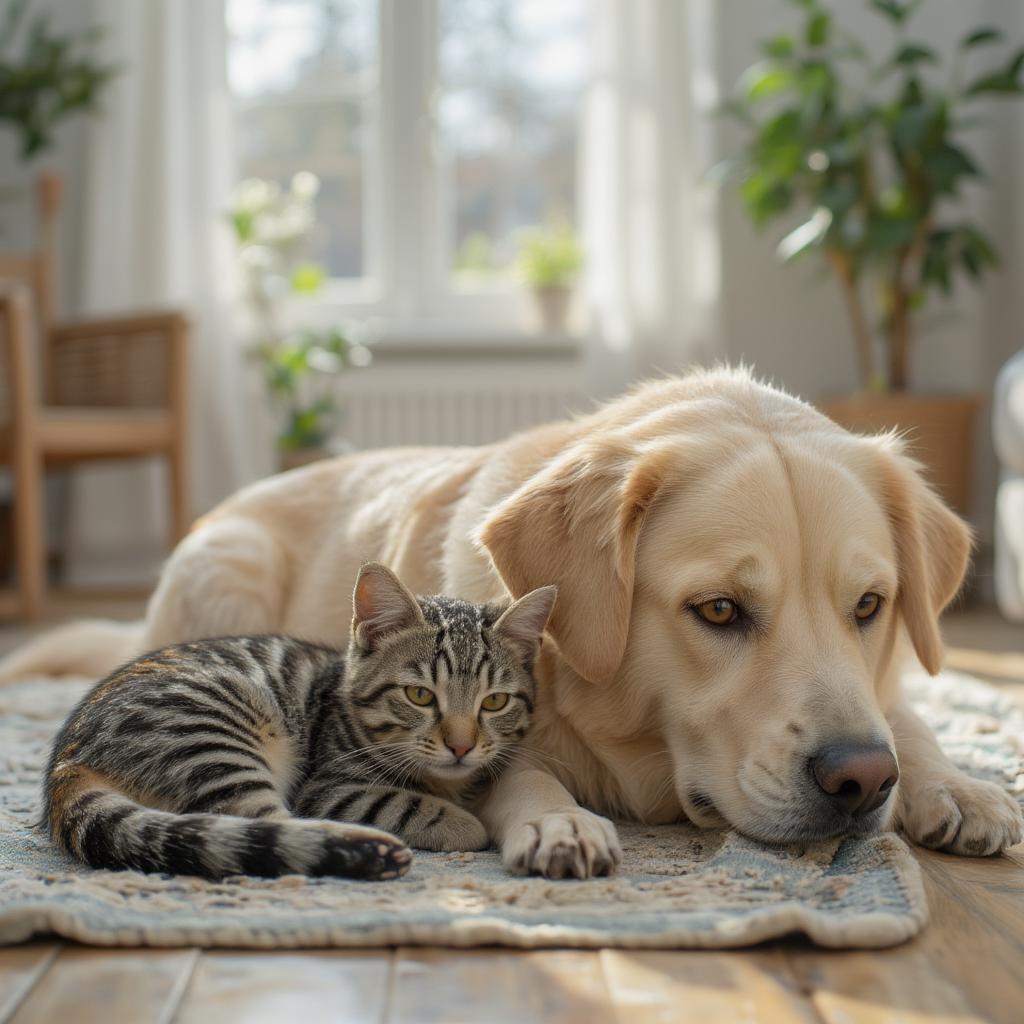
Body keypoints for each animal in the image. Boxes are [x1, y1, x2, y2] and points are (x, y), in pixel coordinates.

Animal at [44, 561, 557, 880]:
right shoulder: (328, 787)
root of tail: (68, 756)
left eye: (494, 702)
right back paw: (369, 851)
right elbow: (403, 802)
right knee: (265, 830)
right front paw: (461, 822)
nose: (461, 746)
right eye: (419, 695)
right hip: (214, 733)